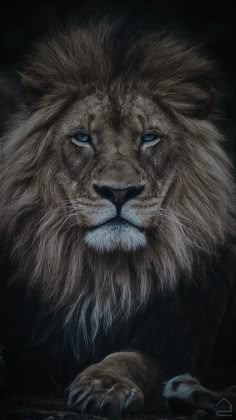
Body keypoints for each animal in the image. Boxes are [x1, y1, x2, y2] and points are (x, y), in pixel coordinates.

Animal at [0, 19, 235, 416]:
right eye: (82, 137)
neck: (106, 273)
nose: (119, 192)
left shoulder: (176, 337)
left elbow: (132, 358)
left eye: (149, 137)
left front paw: (103, 384)